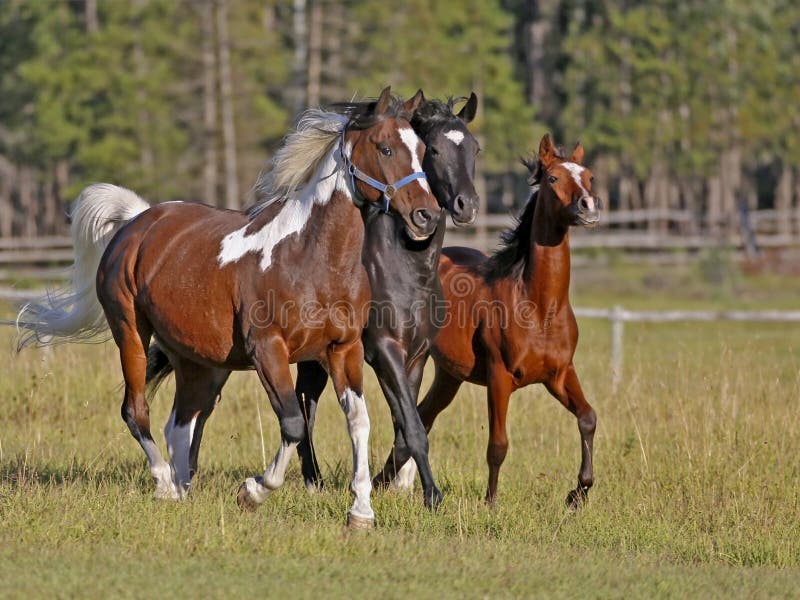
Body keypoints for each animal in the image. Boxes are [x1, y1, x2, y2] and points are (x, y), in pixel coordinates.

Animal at [12, 86, 440, 528]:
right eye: (385, 148)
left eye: (423, 149)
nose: (426, 215)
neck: (310, 259)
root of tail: (136, 222)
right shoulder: (268, 350)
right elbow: (293, 424)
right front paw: (252, 492)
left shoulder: (344, 350)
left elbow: (358, 421)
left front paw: (361, 511)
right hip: (130, 334)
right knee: (137, 411)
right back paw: (165, 485)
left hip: (199, 361)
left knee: (180, 423)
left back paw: (183, 488)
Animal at [294, 92, 482, 506]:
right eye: (434, 149)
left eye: (475, 148)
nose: (467, 205)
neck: (406, 272)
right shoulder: (384, 351)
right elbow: (412, 425)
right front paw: (431, 496)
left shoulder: (416, 356)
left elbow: (406, 425)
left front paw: (388, 482)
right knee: (306, 402)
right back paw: (312, 479)